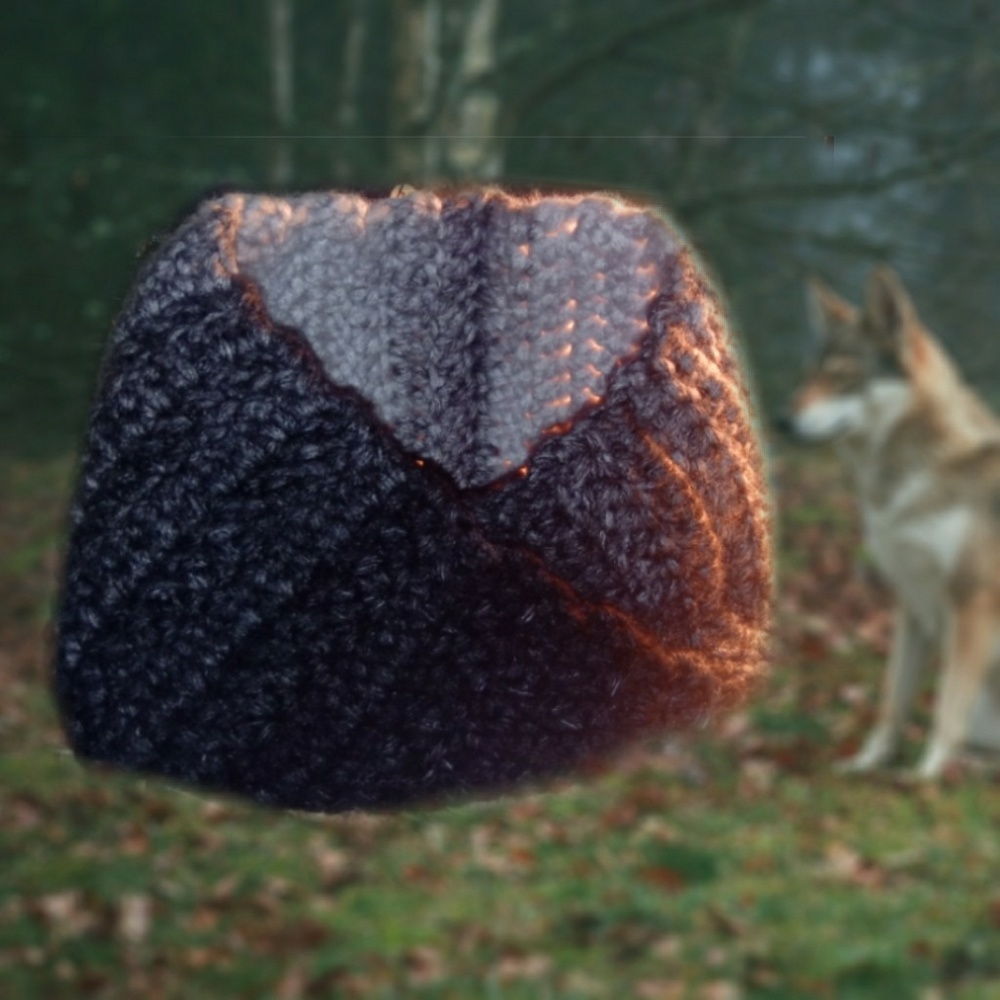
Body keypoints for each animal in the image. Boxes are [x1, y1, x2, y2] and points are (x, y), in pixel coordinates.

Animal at [785, 266, 1000, 777]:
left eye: (843, 377)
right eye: (810, 373)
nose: (782, 422)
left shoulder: (973, 603)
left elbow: (947, 710)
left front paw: (923, 778)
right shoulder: (910, 603)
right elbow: (892, 703)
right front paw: (866, 764)